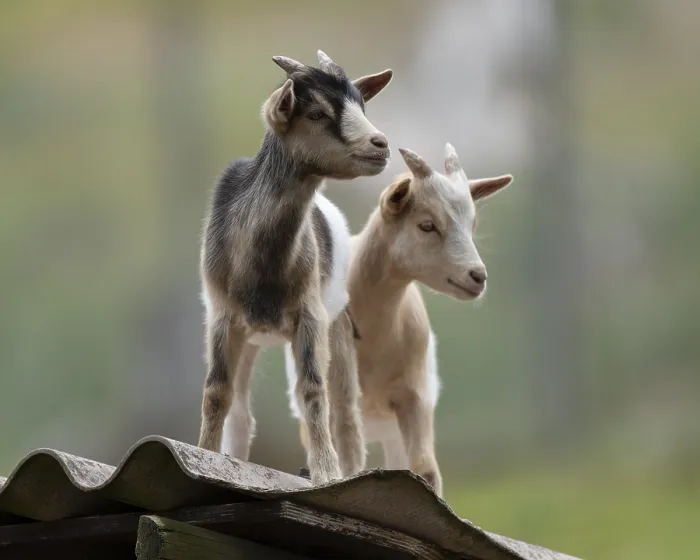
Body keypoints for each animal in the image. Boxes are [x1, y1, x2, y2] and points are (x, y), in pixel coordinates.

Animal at [198, 50, 393, 484]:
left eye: (361, 105)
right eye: (317, 113)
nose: (381, 145)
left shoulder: (311, 314)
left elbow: (312, 389)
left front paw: (326, 473)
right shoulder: (221, 314)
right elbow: (217, 390)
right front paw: (204, 454)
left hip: (338, 326)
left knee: (346, 416)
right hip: (251, 337)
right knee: (242, 412)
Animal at [286, 143, 513, 495]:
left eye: (472, 225)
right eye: (427, 225)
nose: (477, 277)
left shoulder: (415, 395)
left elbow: (426, 467)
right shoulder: (342, 388)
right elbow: (350, 450)